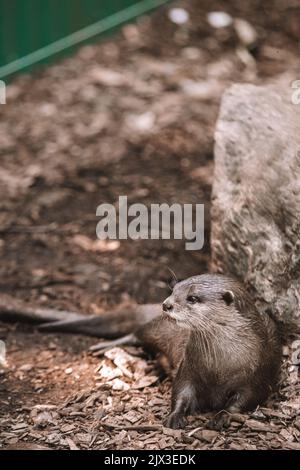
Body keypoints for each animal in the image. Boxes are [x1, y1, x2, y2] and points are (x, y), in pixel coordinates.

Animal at [0, 274, 282, 428]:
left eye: (193, 298)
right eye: (174, 289)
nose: (166, 304)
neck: (220, 367)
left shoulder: (259, 373)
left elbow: (245, 400)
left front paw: (222, 416)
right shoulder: (189, 367)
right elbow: (181, 391)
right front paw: (175, 416)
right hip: (155, 328)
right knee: (137, 333)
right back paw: (105, 346)